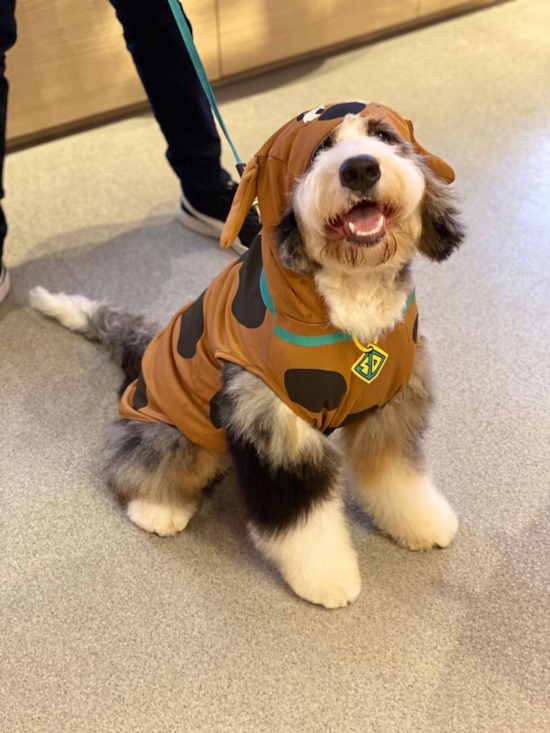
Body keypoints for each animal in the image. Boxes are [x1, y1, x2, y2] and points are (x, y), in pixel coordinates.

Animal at [32, 101, 466, 608]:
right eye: (319, 149)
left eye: (383, 136)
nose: (360, 168)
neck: (349, 299)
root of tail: (138, 360)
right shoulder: (275, 425)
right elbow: (302, 521)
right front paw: (327, 578)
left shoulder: (390, 405)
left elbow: (397, 477)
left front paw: (422, 523)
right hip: (175, 431)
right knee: (134, 464)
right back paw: (156, 508)